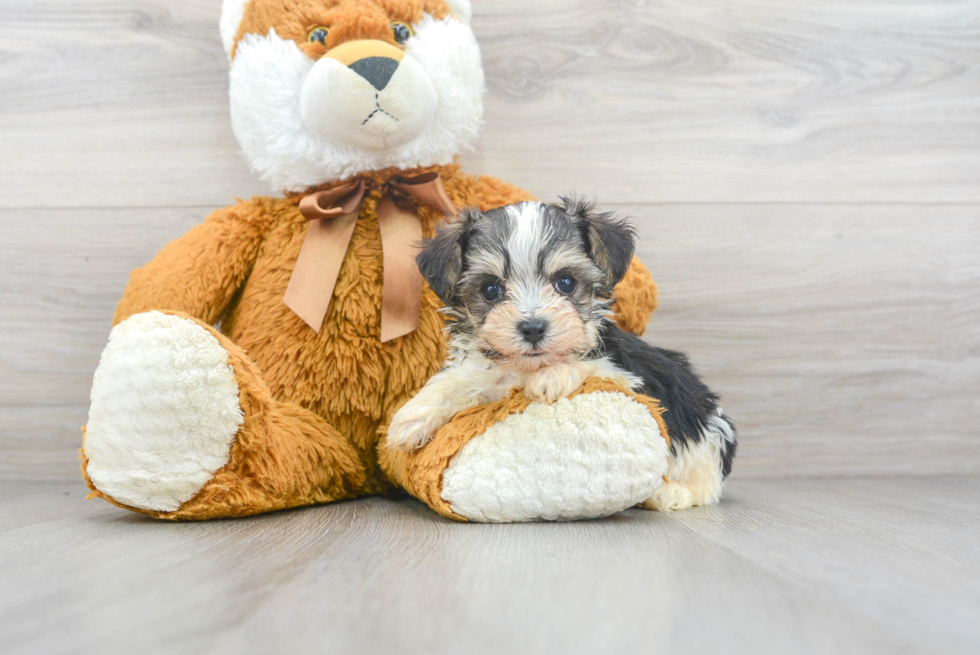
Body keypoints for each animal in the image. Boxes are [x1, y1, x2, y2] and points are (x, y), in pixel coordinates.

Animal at [386, 200, 740, 512]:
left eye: (566, 283)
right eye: (490, 289)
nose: (532, 328)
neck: (526, 367)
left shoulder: (625, 373)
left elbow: (589, 365)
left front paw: (552, 376)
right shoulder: (488, 372)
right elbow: (459, 380)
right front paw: (411, 418)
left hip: (708, 435)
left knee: (705, 486)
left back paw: (670, 494)